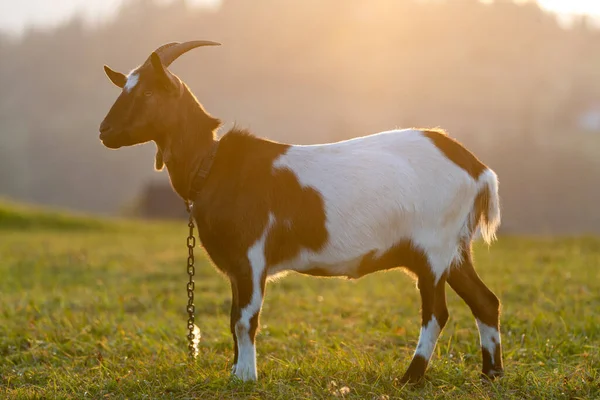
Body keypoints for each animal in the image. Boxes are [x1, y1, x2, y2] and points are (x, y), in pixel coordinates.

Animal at [101, 41, 504, 384]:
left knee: (436, 313)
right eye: (124, 89)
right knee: (486, 300)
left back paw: (410, 378)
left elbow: (244, 319)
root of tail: (477, 168)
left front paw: (245, 378)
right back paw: (491, 374)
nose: (105, 131)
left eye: (148, 93)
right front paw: (235, 372)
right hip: (455, 249)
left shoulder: (252, 256)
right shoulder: (235, 264)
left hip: (433, 247)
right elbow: (233, 317)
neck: (212, 165)